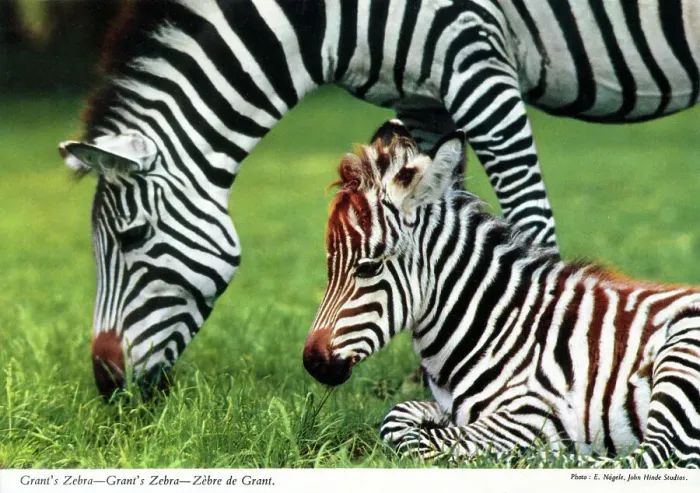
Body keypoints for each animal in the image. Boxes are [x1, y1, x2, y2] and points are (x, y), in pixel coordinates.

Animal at [60, 0, 699, 396]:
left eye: (133, 237)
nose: (106, 386)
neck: (323, 19)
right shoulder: (421, 92)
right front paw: (435, 372)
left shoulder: (475, 60)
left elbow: (530, 220)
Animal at [302, 120, 700, 467]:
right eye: (329, 267)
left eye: (368, 268)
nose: (312, 363)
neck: (493, 328)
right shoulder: (446, 405)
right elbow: (399, 414)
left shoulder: (530, 413)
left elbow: (425, 438)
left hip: (681, 355)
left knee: (653, 456)